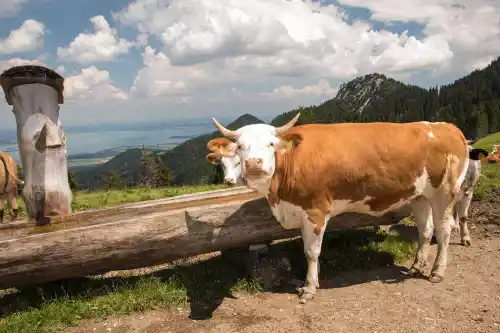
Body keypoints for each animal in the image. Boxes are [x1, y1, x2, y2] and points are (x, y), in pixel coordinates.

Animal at [209, 114, 470, 304]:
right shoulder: (301, 212)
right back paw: (416, 266)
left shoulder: (316, 211)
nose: (254, 164)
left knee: (444, 230)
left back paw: (437, 271)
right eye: (240, 146)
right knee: (425, 230)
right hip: (420, 195)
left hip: (444, 192)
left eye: (270, 144)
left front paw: (309, 288)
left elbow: (311, 252)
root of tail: (448, 126)